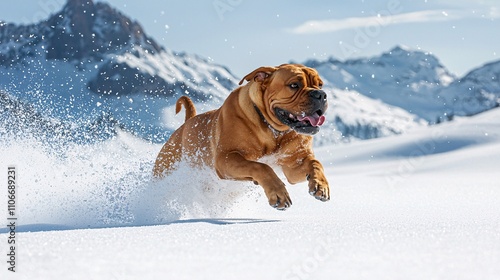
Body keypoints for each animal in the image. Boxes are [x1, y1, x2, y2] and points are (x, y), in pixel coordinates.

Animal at [154, 63, 330, 208]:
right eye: (294, 85)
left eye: (320, 84)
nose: (320, 94)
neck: (273, 131)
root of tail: (186, 123)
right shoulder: (226, 158)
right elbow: (260, 166)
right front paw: (278, 192)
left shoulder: (293, 166)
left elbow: (315, 163)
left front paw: (321, 185)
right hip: (165, 168)